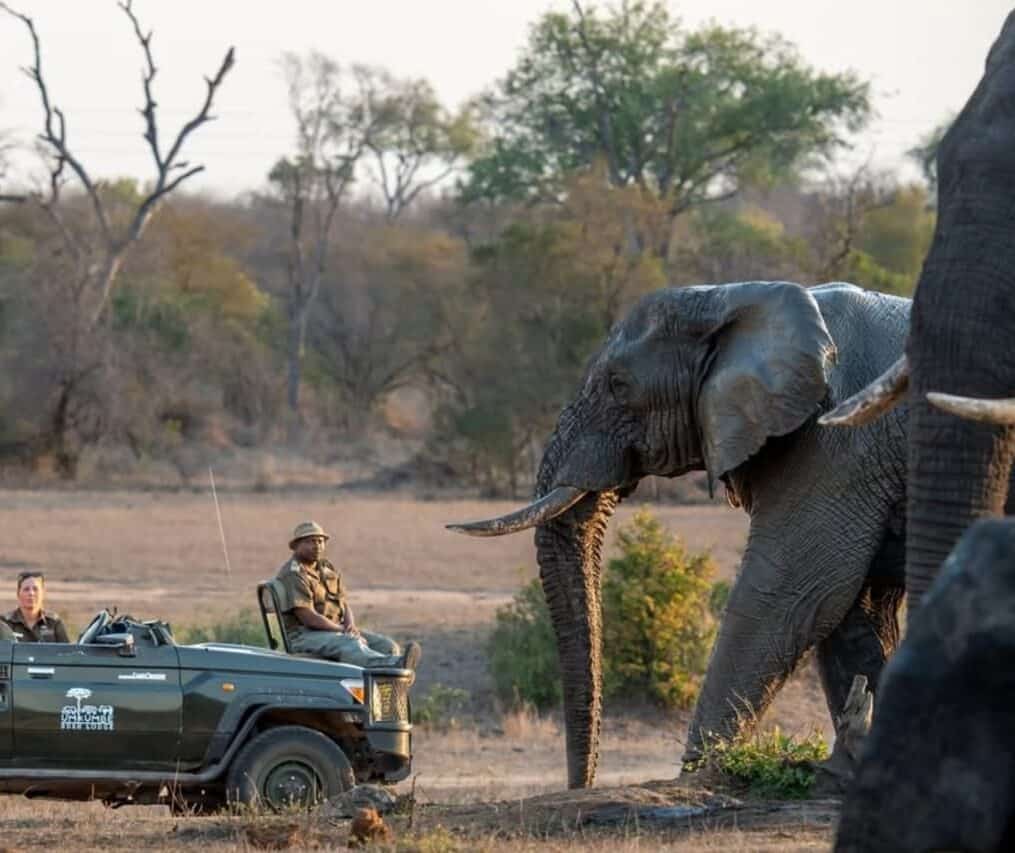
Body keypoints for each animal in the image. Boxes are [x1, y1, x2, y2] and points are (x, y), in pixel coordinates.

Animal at [451, 279, 922, 788]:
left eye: (619, 386)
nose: (583, 785)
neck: (732, 299)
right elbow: (855, 615)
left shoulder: (836, 445)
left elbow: (791, 596)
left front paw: (699, 779)